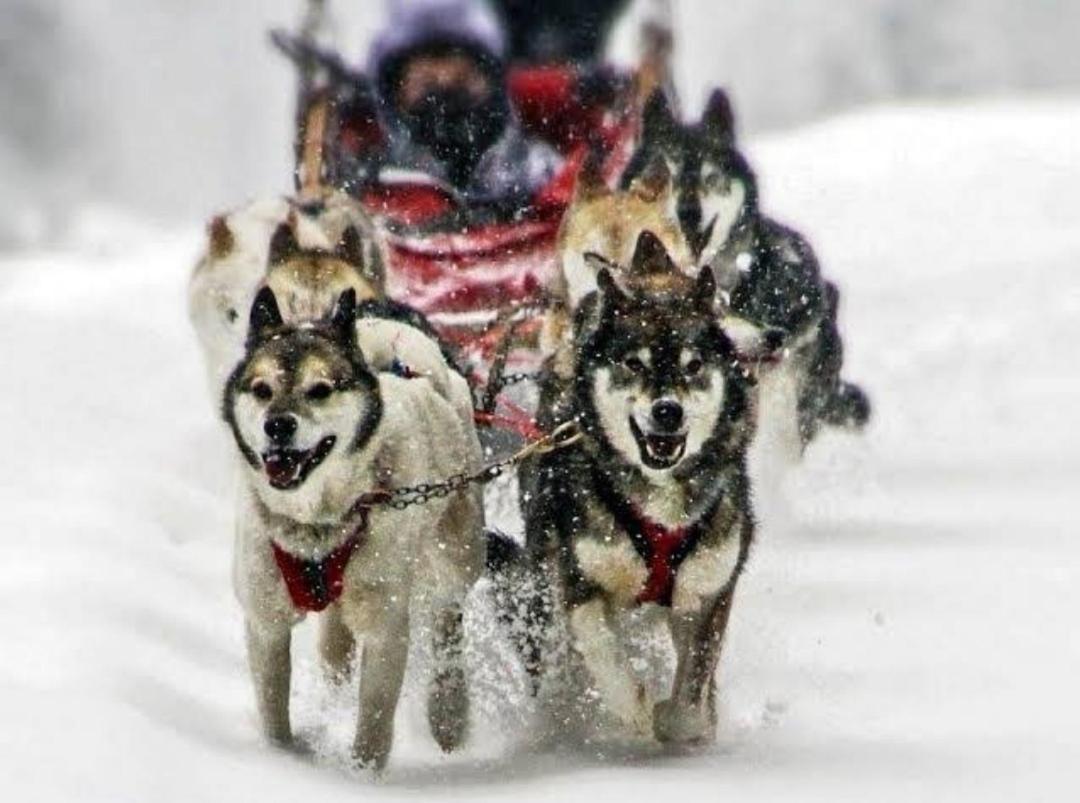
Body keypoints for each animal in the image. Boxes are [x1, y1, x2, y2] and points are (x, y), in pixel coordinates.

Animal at [225, 282, 483, 772]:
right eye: (262, 389)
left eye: (320, 389)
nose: (278, 425)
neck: (318, 524)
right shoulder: (265, 621)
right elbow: (273, 708)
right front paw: (279, 759)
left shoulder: (385, 627)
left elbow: (374, 721)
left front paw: (363, 776)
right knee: (334, 648)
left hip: (453, 556)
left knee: (447, 622)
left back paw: (449, 710)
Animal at [518, 234, 756, 746]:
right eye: (633, 363)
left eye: (694, 365)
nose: (668, 411)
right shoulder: (579, 578)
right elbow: (600, 647)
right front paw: (634, 709)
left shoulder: (710, 589)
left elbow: (695, 683)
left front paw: (682, 720)